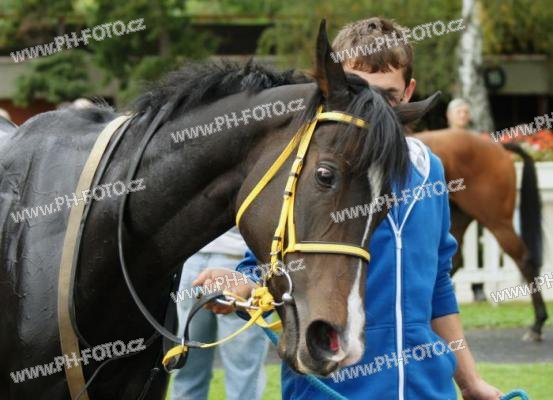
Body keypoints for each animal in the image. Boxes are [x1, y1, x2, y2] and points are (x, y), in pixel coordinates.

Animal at [415, 128, 546, 340]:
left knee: (524, 259)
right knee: (451, 263)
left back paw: (537, 325)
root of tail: (497, 145)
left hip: (497, 221)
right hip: (457, 218)